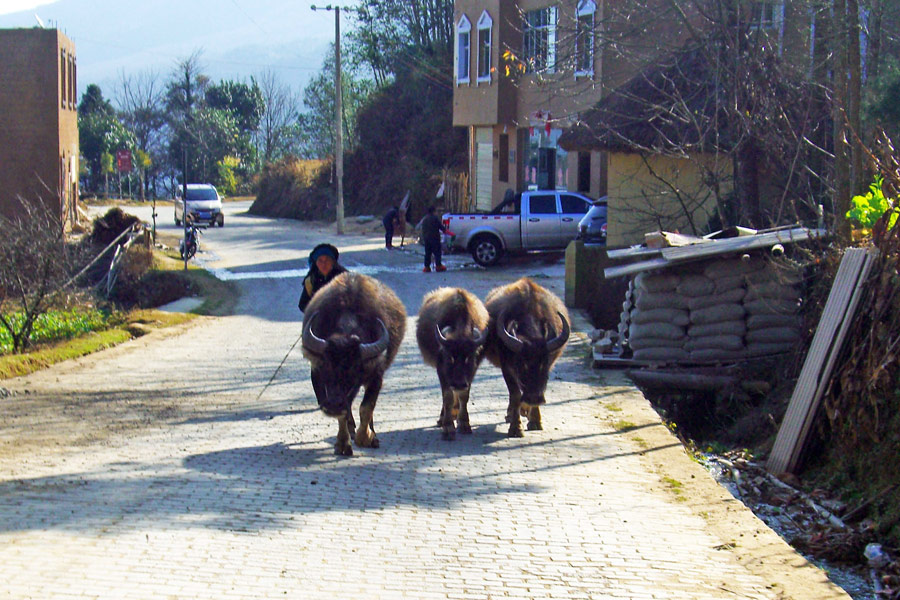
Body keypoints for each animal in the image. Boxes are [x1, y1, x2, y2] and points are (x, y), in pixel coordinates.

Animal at [300, 272, 406, 454]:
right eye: (325, 365)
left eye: (354, 368)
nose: (333, 405)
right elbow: (344, 413)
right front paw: (343, 444)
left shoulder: (376, 377)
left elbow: (366, 407)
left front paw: (367, 437)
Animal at [416, 286, 488, 440]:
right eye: (450, 357)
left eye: (469, 357)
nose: (459, 383)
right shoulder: (441, 369)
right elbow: (447, 397)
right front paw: (448, 427)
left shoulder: (471, 372)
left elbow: (464, 396)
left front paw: (464, 423)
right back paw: (443, 418)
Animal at [486, 276, 568, 436]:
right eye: (522, 364)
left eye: (544, 364)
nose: (534, 397)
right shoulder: (507, 368)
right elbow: (515, 394)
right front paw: (515, 427)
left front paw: (535, 420)